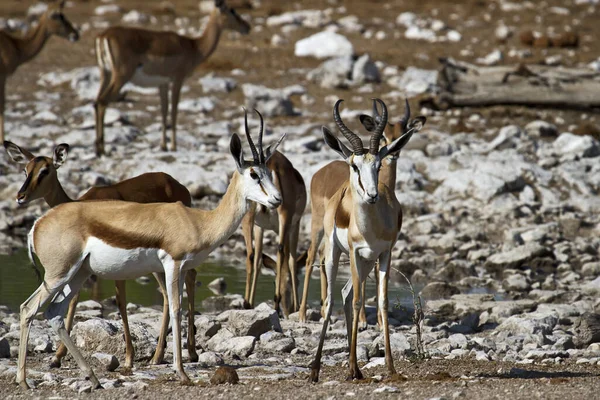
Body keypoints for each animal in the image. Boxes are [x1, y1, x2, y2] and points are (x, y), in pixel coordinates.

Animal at [3, 142, 198, 370]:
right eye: (26, 170)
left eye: (45, 170)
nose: (20, 196)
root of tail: (178, 185)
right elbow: (74, 300)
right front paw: (57, 357)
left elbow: (120, 303)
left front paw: (129, 357)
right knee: (173, 290)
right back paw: (163, 355)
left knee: (185, 281)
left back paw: (186, 353)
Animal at [93, 0, 251, 155]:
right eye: (232, 10)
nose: (247, 26)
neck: (194, 46)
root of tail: (104, 35)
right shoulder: (178, 79)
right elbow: (174, 110)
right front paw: (174, 146)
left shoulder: (163, 83)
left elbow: (164, 110)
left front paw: (163, 146)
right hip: (121, 76)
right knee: (103, 101)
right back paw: (102, 149)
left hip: (105, 74)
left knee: (96, 101)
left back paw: (97, 148)